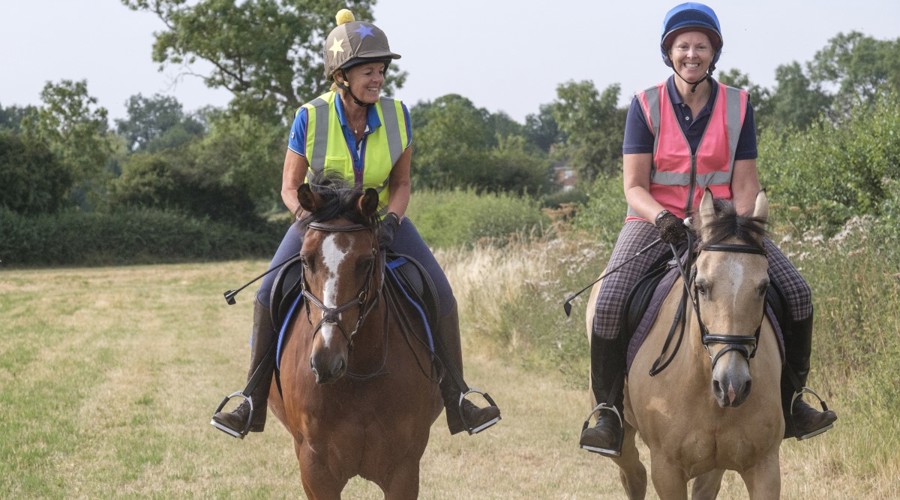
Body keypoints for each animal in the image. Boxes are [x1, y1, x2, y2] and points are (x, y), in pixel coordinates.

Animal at [267, 180, 443, 499]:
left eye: (366, 261)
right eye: (305, 260)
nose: (326, 360)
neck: (359, 371)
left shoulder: (404, 469)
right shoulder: (315, 469)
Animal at [584, 189, 783, 499]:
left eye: (764, 287)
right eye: (701, 286)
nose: (732, 385)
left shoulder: (765, 466)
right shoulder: (666, 470)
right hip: (621, 435)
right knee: (634, 474)